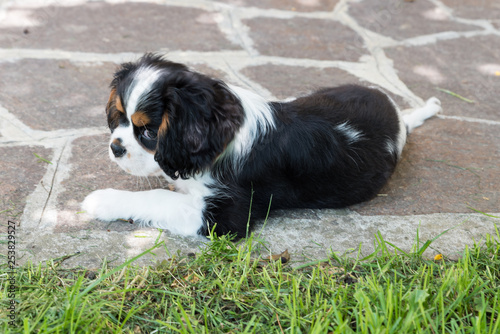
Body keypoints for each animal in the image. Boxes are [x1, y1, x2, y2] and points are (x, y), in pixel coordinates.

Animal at [83, 53, 442, 237]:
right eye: (119, 117)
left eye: (148, 132)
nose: (116, 147)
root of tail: (396, 116)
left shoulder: (224, 215)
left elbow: (157, 197)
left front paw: (102, 201)